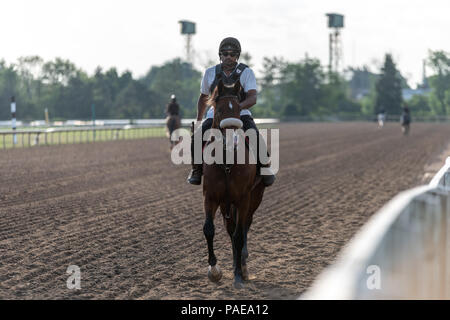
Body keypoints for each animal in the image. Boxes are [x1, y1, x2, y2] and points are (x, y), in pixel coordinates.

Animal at [201, 79, 268, 288]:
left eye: (238, 109)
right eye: (220, 109)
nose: (232, 141)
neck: (227, 163)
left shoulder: (243, 198)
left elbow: (239, 235)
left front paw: (239, 274)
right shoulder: (211, 197)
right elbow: (209, 229)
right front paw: (214, 270)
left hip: (255, 197)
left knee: (244, 227)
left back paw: (243, 266)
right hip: (226, 204)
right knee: (230, 229)